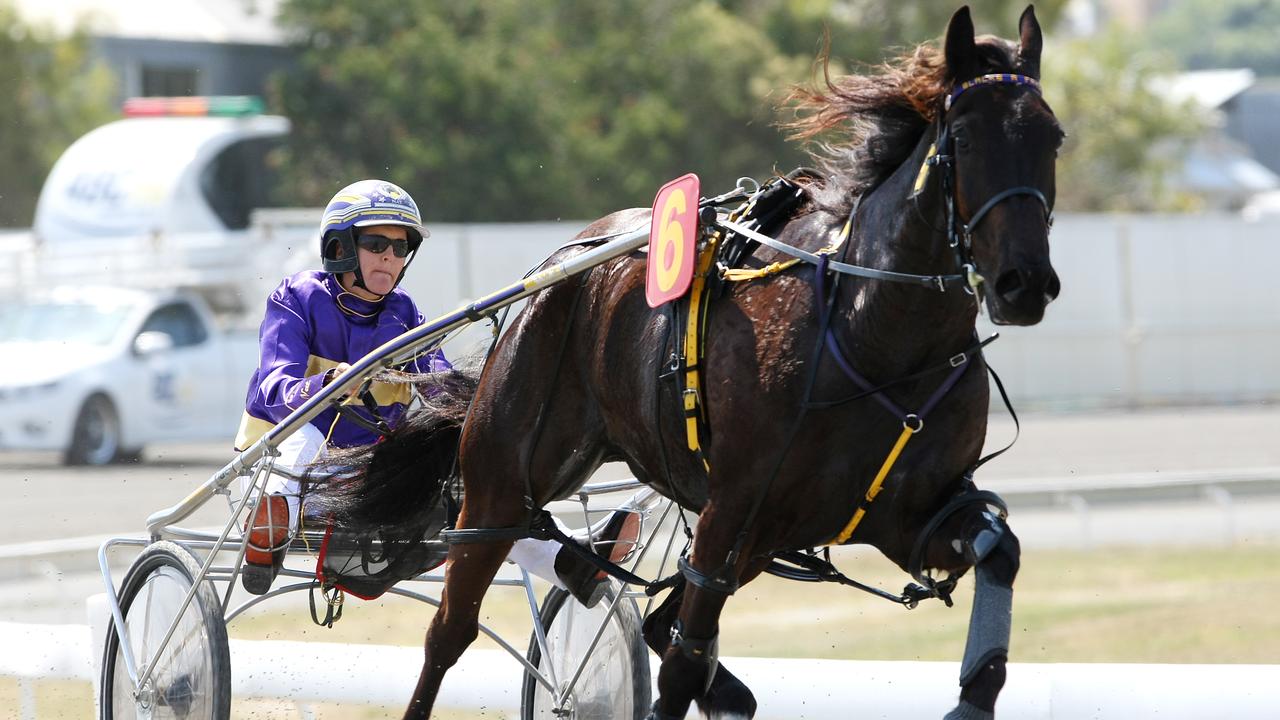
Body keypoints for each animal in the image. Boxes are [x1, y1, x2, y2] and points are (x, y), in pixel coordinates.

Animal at [309, 7, 1059, 717]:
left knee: (656, 622)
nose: (1024, 282)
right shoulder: (733, 512)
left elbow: (1000, 553)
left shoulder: (903, 516)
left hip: (758, 536)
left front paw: (973, 694)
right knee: (452, 630)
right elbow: (682, 662)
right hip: (500, 484)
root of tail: (562, 264)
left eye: (1053, 139)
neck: (872, 337)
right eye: (966, 140)